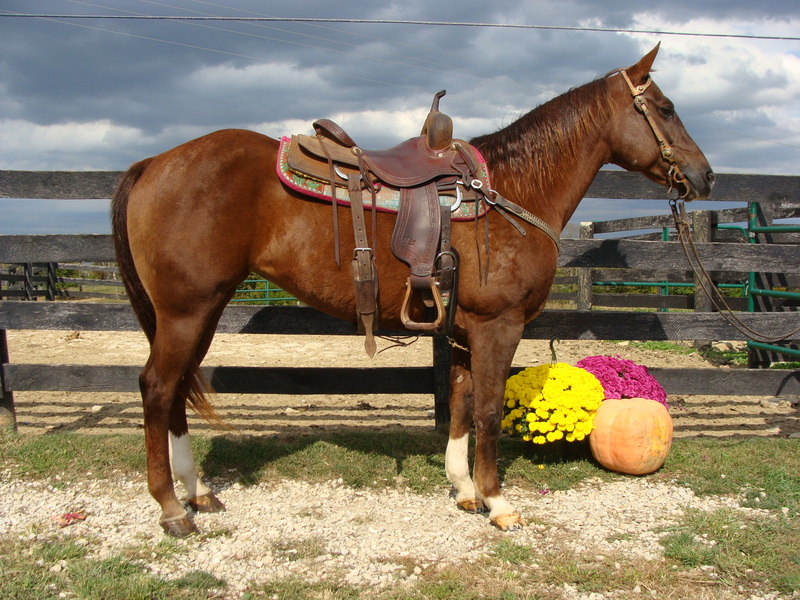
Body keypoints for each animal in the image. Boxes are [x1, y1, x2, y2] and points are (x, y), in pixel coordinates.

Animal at [111, 44, 712, 536]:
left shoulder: (468, 330)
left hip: (202, 311)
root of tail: (153, 162)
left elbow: (463, 403)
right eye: (665, 108)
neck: (511, 192)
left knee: (178, 387)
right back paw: (171, 508)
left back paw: (197, 493)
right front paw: (498, 504)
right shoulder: (499, 326)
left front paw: (465, 491)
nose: (705, 176)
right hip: (187, 310)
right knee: (158, 387)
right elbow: (488, 409)